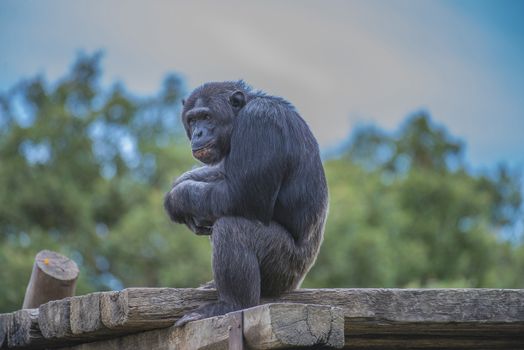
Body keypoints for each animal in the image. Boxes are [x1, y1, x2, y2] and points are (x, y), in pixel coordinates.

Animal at [164, 80, 328, 326]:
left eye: (207, 117)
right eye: (192, 120)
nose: (198, 132)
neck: (239, 116)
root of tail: (294, 285)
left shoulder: (260, 121)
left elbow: (242, 194)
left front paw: (177, 198)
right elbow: (222, 174)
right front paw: (179, 186)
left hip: (284, 268)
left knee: (232, 228)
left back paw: (230, 305)